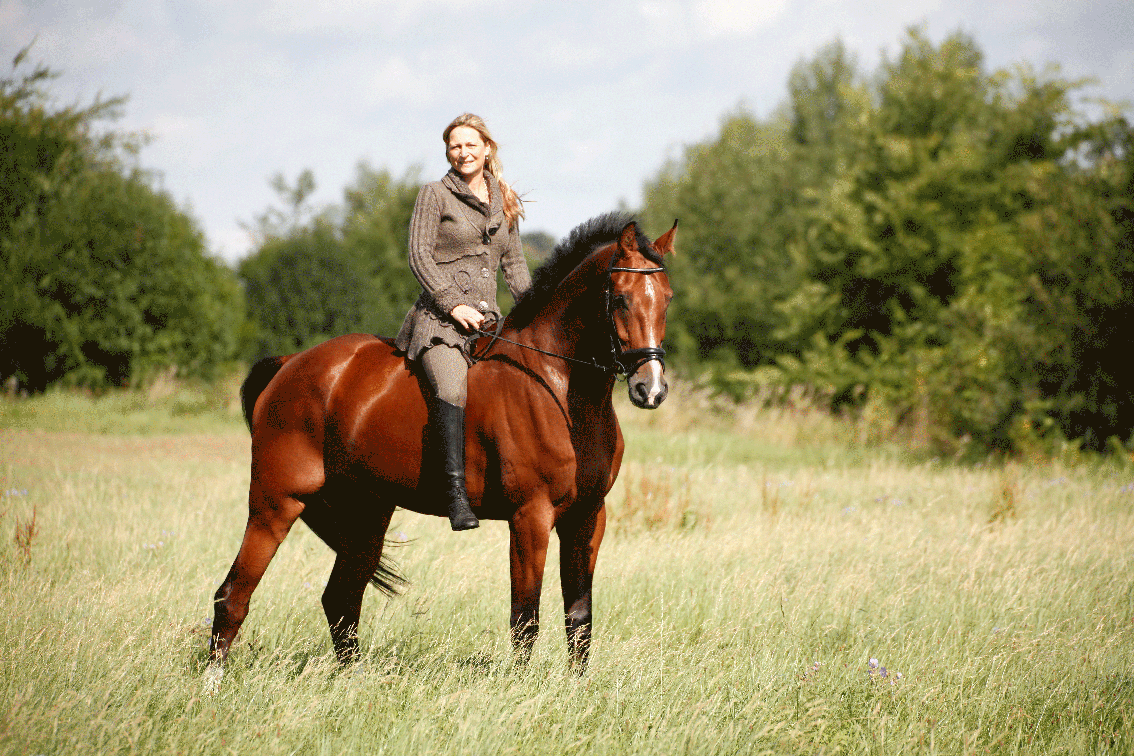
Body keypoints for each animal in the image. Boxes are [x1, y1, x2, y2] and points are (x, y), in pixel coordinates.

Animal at [207, 214, 671, 680]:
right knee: (233, 595)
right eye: (621, 299)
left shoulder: (588, 516)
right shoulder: (531, 516)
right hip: (276, 503)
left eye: (666, 299)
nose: (650, 389)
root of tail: (291, 365)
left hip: (367, 512)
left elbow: (579, 616)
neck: (557, 385)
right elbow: (525, 618)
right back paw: (214, 683)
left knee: (340, 599)